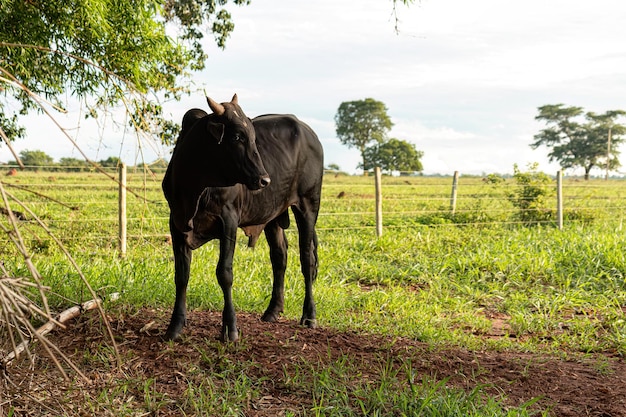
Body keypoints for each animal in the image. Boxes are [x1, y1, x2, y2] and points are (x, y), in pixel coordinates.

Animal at [161, 94, 322, 342]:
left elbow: (224, 273)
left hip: (308, 205)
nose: (265, 180)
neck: (194, 189)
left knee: (307, 259)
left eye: (253, 137)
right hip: (273, 216)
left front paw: (230, 328)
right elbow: (181, 275)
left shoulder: (228, 221)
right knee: (280, 257)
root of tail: (309, 132)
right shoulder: (176, 224)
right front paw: (175, 326)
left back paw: (309, 316)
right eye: (237, 136)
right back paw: (272, 311)